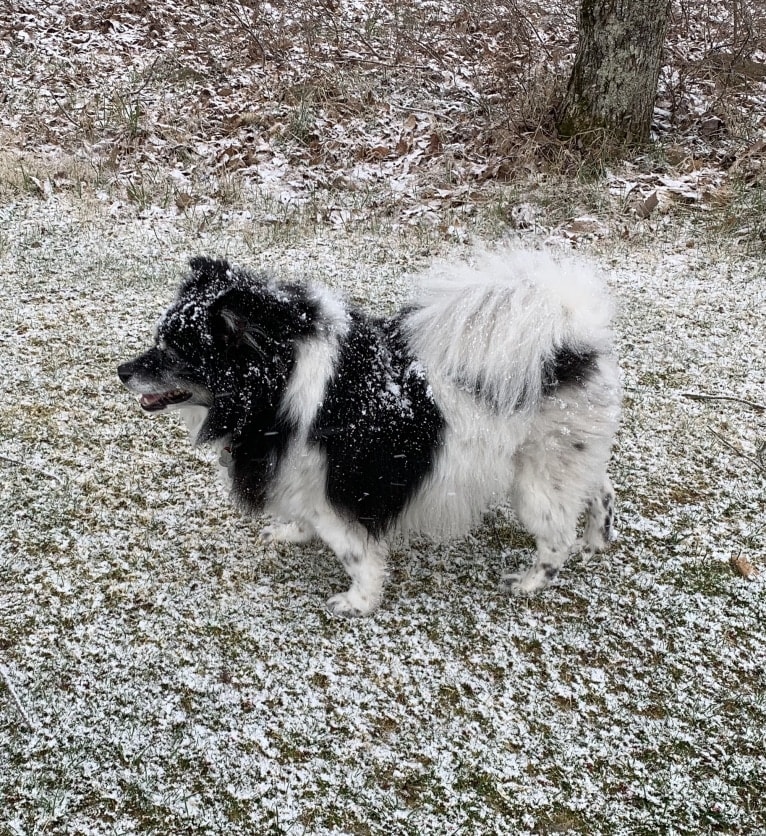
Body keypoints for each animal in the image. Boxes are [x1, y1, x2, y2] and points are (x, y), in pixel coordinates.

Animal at [120, 251, 624, 616]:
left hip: (537, 482)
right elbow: (302, 519)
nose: (122, 371)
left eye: (174, 350)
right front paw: (291, 533)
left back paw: (531, 582)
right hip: (574, 456)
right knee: (601, 490)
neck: (280, 380)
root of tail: (573, 340)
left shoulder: (333, 495)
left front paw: (359, 603)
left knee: (556, 537)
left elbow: (356, 555)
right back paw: (597, 539)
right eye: (158, 338)